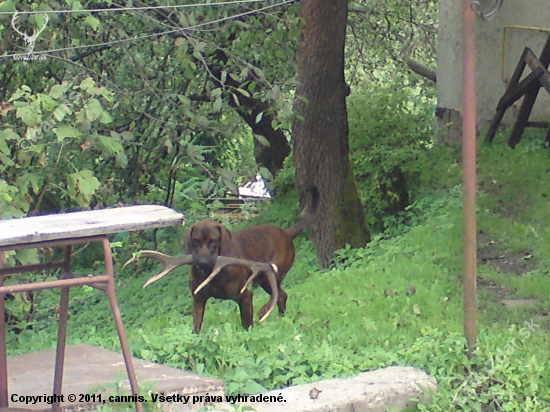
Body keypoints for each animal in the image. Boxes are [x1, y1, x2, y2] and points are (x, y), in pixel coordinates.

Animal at [188, 185, 322, 334]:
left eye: (213, 241)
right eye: (196, 240)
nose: (202, 262)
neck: (212, 273)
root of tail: (285, 233)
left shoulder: (245, 297)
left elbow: (247, 325)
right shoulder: (198, 301)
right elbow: (195, 329)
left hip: (269, 276)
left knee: (279, 296)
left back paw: (265, 311)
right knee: (281, 296)